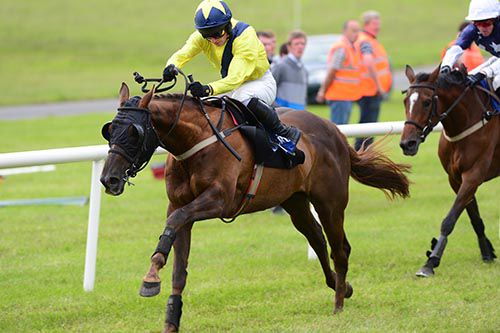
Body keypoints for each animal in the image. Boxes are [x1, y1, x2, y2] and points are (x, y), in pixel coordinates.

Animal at [101, 74, 410, 330]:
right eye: (109, 130)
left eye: (134, 132)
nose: (109, 179)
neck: (197, 141)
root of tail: (336, 131)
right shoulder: (179, 205)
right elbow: (178, 265)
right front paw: (164, 305)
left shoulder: (219, 200)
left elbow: (175, 222)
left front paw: (151, 278)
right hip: (294, 201)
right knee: (317, 239)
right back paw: (340, 286)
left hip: (330, 202)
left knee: (340, 248)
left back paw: (338, 304)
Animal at [400, 63, 498, 276]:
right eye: (405, 101)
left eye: (427, 102)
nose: (407, 144)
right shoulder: (456, 178)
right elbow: (474, 217)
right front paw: (487, 252)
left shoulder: (474, 175)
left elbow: (449, 220)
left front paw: (430, 262)